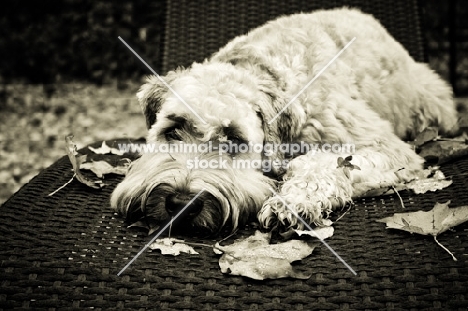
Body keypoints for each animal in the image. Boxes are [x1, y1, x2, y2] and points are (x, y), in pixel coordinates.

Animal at [111, 7, 458, 235]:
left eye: (234, 139)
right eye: (173, 129)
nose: (181, 203)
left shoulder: (387, 148)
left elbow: (320, 162)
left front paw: (291, 202)